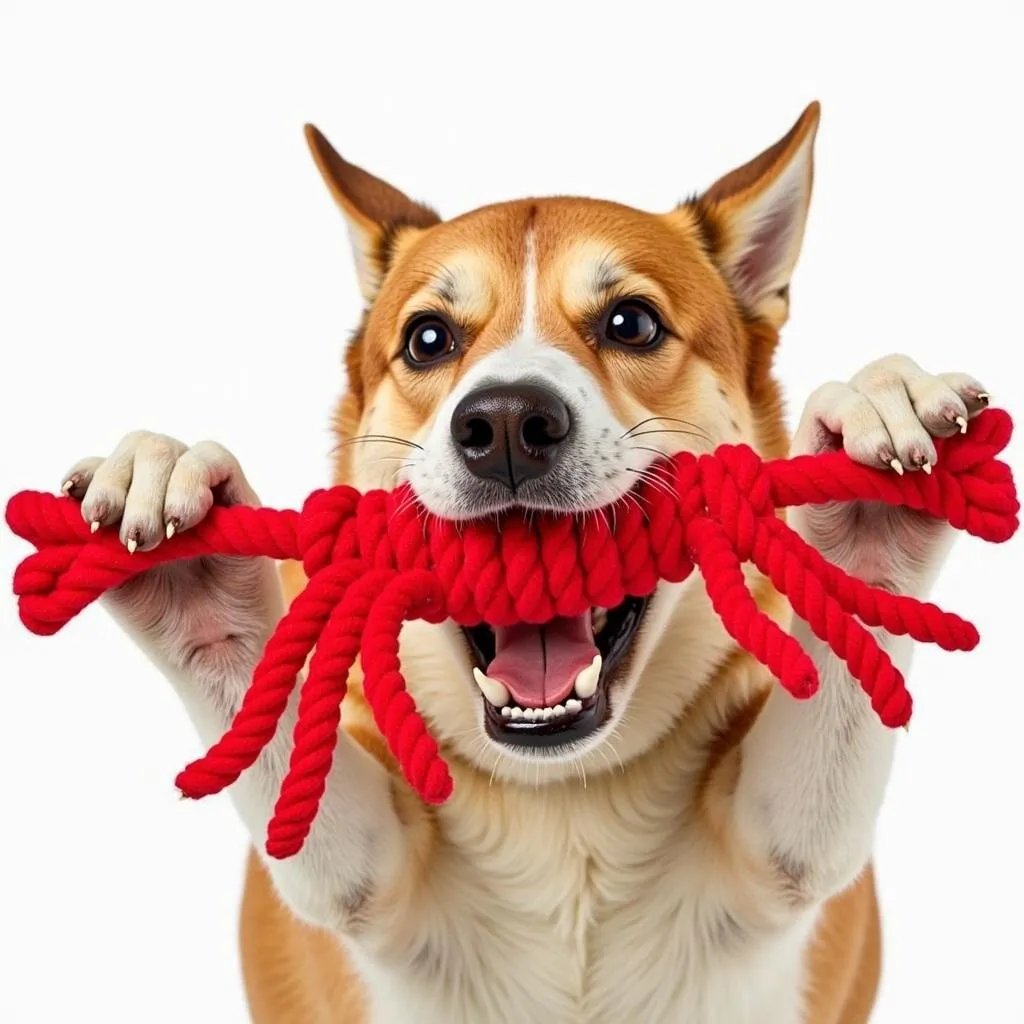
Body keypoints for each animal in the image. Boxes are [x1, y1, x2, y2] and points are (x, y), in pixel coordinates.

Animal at [58, 105, 991, 1024]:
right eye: (428, 339)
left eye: (631, 322)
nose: (505, 422)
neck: (563, 796)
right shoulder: (362, 880)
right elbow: (317, 829)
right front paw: (190, 555)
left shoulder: (782, 853)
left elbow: (813, 800)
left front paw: (876, 461)